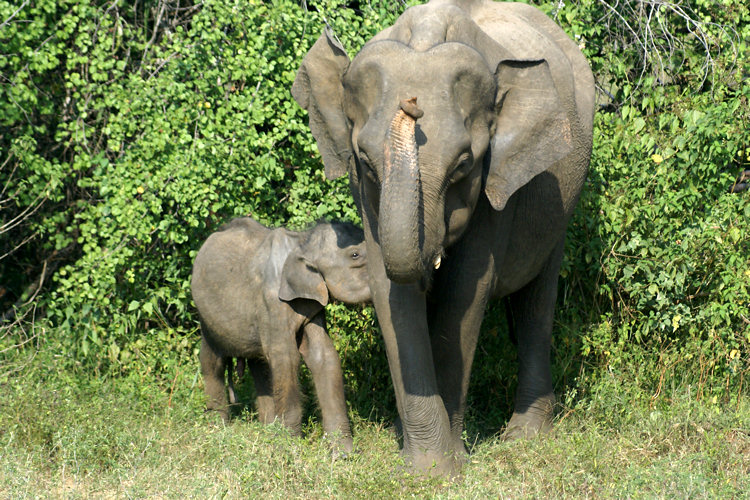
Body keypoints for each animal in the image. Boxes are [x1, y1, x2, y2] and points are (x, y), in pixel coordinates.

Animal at [192, 216, 372, 454]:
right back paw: (218, 428)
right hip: (206, 317)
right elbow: (286, 358)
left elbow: (323, 356)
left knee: (260, 366)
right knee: (213, 361)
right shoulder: (272, 301)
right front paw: (290, 448)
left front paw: (343, 453)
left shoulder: (311, 305)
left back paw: (268, 429)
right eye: (355, 255)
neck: (302, 242)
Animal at [294, 0, 592, 476]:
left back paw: (525, 437)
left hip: (562, 204)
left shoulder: (496, 187)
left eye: (463, 165)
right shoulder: (366, 197)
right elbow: (393, 296)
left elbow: (464, 293)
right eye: (366, 162)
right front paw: (422, 469)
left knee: (536, 305)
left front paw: (445, 467)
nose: (411, 104)